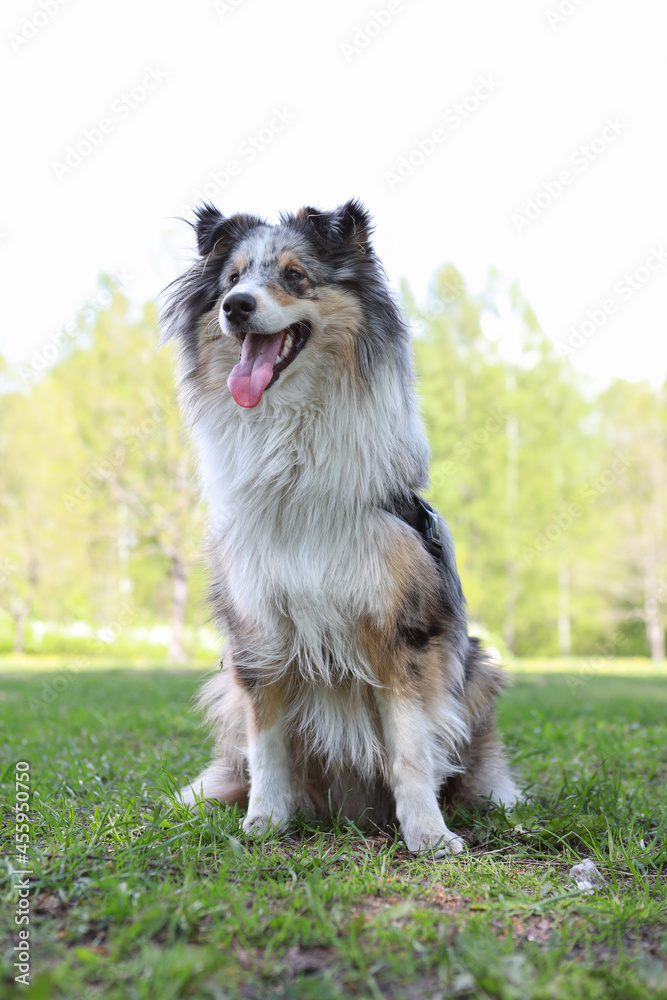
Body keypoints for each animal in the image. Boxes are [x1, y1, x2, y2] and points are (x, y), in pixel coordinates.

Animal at [162, 199, 520, 856]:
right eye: (232, 280)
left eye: (295, 276)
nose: (237, 306)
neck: (292, 451)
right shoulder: (259, 636)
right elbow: (267, 745)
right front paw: (264, 822)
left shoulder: (401, 633)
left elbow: (410, 748)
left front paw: (428, 833)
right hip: (226, 687)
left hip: (477, 670)